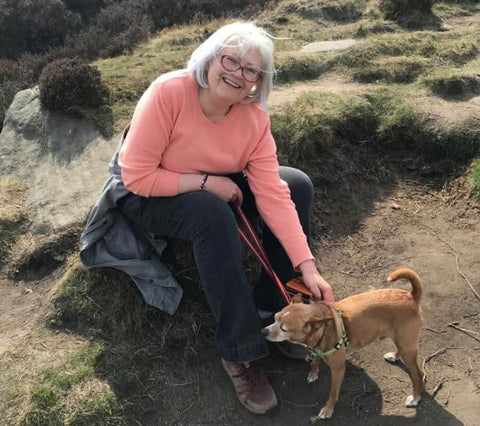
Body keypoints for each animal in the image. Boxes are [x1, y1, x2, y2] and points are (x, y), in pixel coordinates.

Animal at [262, 268, 424, 422]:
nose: (263, 331)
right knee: (401, 350)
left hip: (407, 346)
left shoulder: (338, 370)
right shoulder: (315, 349)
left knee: (418, 375)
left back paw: (415, 398)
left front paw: (328, 410)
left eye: (283, 328)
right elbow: (315, 361)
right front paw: (313, 373)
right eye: (275, 318)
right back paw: (394, 356)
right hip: (402, 341)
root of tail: (411, 295)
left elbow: (333, 393)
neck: (324, 328)